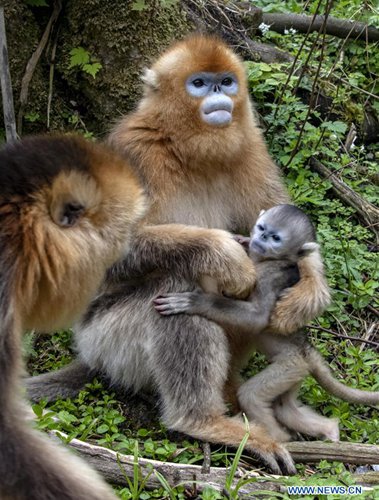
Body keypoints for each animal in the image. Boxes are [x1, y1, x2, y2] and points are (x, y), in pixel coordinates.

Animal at [25, 36, 332, 476]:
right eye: (199, 83)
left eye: (225, 81)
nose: (219, 93)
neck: (188, 149)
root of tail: (90, 354)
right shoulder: (134, 151)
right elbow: (108, 250)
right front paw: (224, 255)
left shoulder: (251, 148)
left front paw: (310, 290)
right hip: (107, 339)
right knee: (177, 282)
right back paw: (203, 421)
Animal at [155, 205, 379, 444]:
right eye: (262, 228)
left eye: (275, 238)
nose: (261, 237)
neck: (267, 261)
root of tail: (305, 348)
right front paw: (240, 241)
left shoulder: (270, 276)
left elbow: (258, 317)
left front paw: (197, 302)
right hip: (297, 373)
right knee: (285, 408)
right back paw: (329, 430)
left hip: (290, 366)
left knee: (251, 395)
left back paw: (277, 438)